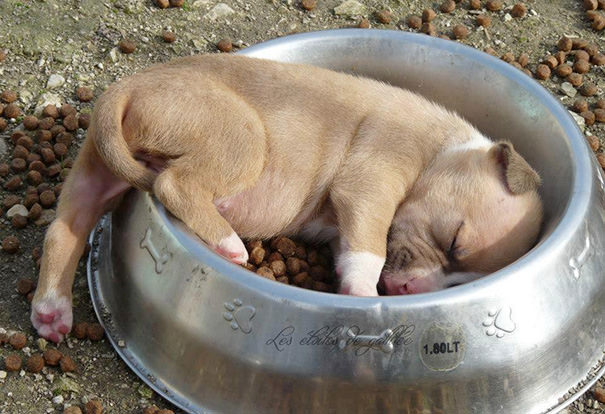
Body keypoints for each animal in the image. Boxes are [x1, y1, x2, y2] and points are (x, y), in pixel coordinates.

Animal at [30, 53, 544, 342]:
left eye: (460, 282)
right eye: (454, 240)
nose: (404, 293)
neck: (442, 150)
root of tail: (126, 87)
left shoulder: (347, 221)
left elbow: (352, 247)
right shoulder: (371, 182)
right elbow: (369, 248)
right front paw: (362, 295)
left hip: (94, 177)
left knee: (63, 231)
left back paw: (51, 312)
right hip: (242, 137)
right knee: (174, 185)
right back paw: (227, 244)